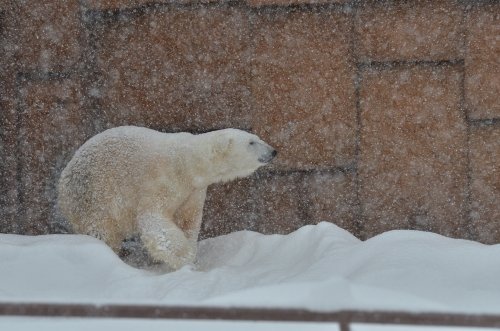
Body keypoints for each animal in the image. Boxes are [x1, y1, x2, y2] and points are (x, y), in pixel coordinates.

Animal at [58, 126, 278, 272]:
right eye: (251, 142)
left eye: (257, 137)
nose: (273, 151)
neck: (188, 163)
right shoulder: (162, 179)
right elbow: (154, 219)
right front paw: (185, 259)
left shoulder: (193, 191)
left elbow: (188, 221)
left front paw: (192, 256)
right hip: (92, 194)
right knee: (101, 229)